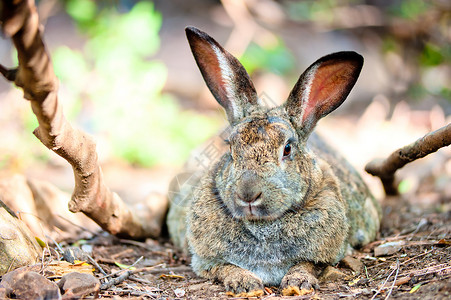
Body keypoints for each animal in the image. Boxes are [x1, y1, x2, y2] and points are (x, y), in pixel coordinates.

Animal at [167, 26, 382, 298]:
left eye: (287, 149)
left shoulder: (327, 255)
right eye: (230, 147)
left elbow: (307, 264)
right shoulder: (206, 261)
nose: (248, 194)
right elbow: (225, 267)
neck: (263, 225)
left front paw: (297, 282)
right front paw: (245, 284)